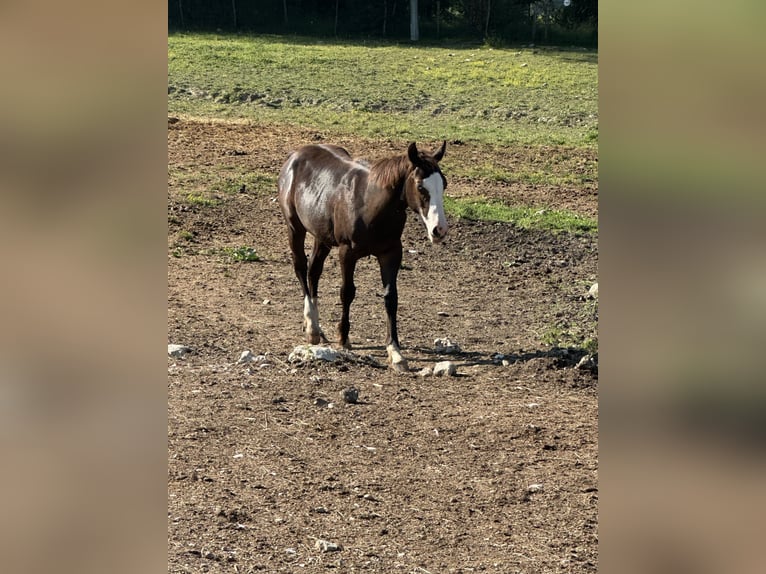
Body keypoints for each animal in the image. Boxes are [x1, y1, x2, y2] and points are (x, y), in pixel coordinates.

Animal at [277, 141, 448, 372]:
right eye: (421, 187)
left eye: (444, 184)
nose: (439, 230)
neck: (370, 204)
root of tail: (295, 155)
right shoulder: (347, 252)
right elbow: (347, 292)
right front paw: (344, 337)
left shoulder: (391, 253)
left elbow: (391, 298)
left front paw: (395, 352)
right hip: (294, 228)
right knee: (301, 268)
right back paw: (312, 327)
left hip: (321, 235)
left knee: (314, 271)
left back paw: (316, 327)